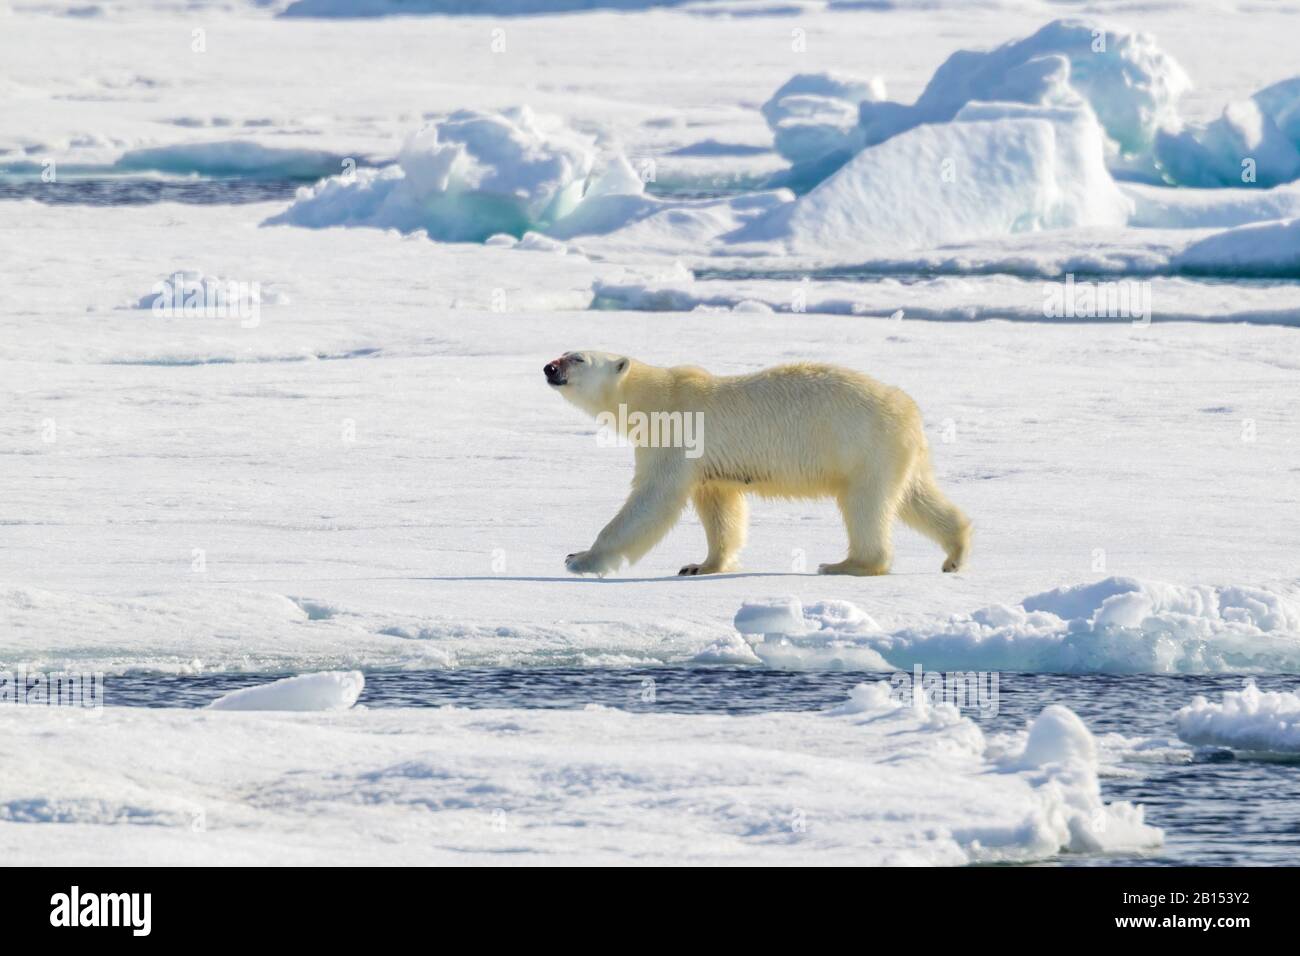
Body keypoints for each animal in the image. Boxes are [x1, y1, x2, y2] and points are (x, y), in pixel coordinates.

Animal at [543, 351, 972, 574]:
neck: (654, 399)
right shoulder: (709, 468)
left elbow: (651, 500)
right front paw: (700, 565)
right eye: (564, 352)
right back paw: (955, 551)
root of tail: (909, 409)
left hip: (863, 446)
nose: (549, 367)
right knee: (915, 497)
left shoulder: (675, 439)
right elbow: (720, 508)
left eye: (576, 358)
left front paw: (580, 558)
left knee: (865, 504)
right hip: (897, 452)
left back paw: (847, 564)